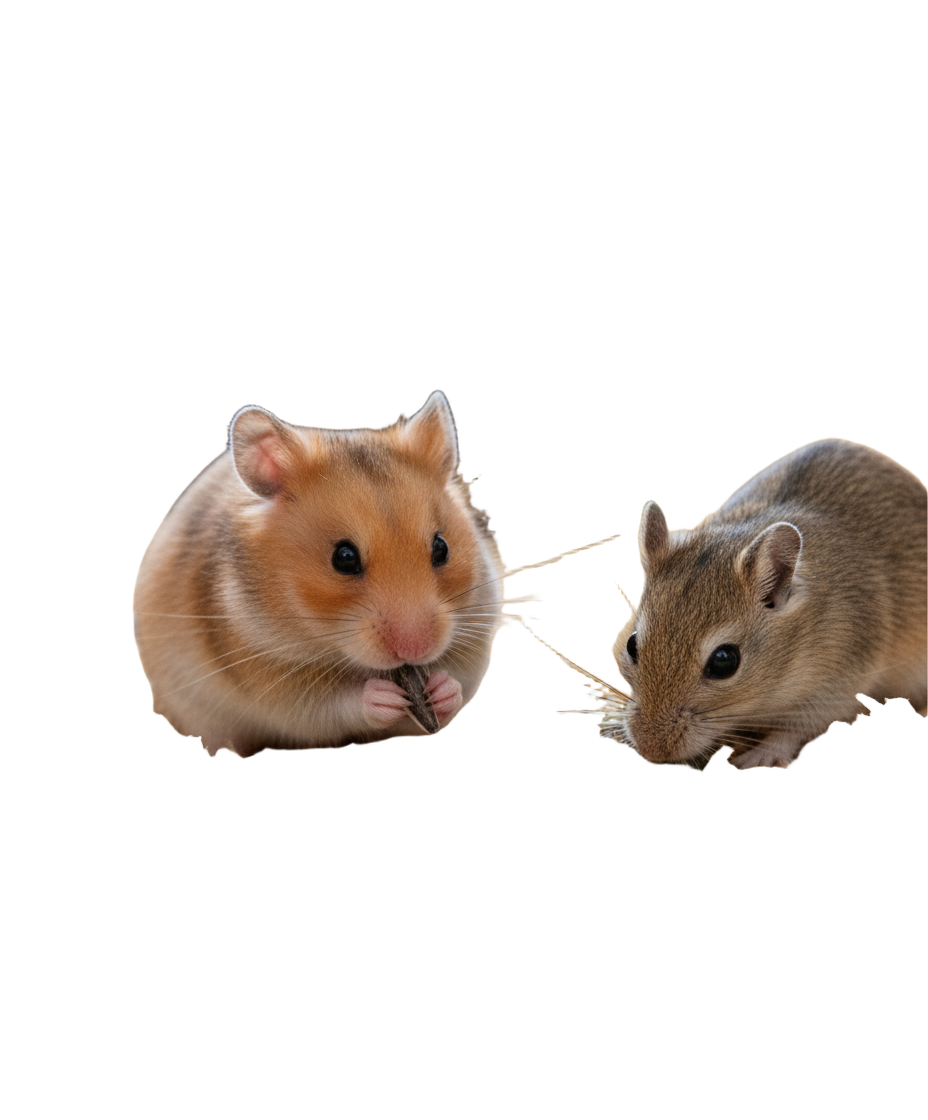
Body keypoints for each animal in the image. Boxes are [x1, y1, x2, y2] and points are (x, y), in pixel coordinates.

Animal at [134, 391, 504, 756]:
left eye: (441, 548)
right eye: (344, 558)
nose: (415, 650)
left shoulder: (476, 637)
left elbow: (459, 683)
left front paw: (441, 690)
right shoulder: (270, 676)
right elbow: (338, 704)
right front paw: (384, 697)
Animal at [610, 440, 927, 769]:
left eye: (724, 661)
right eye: (632, 645)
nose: (651, 750)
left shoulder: (839, 688)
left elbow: (794, 730)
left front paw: (755, 758)